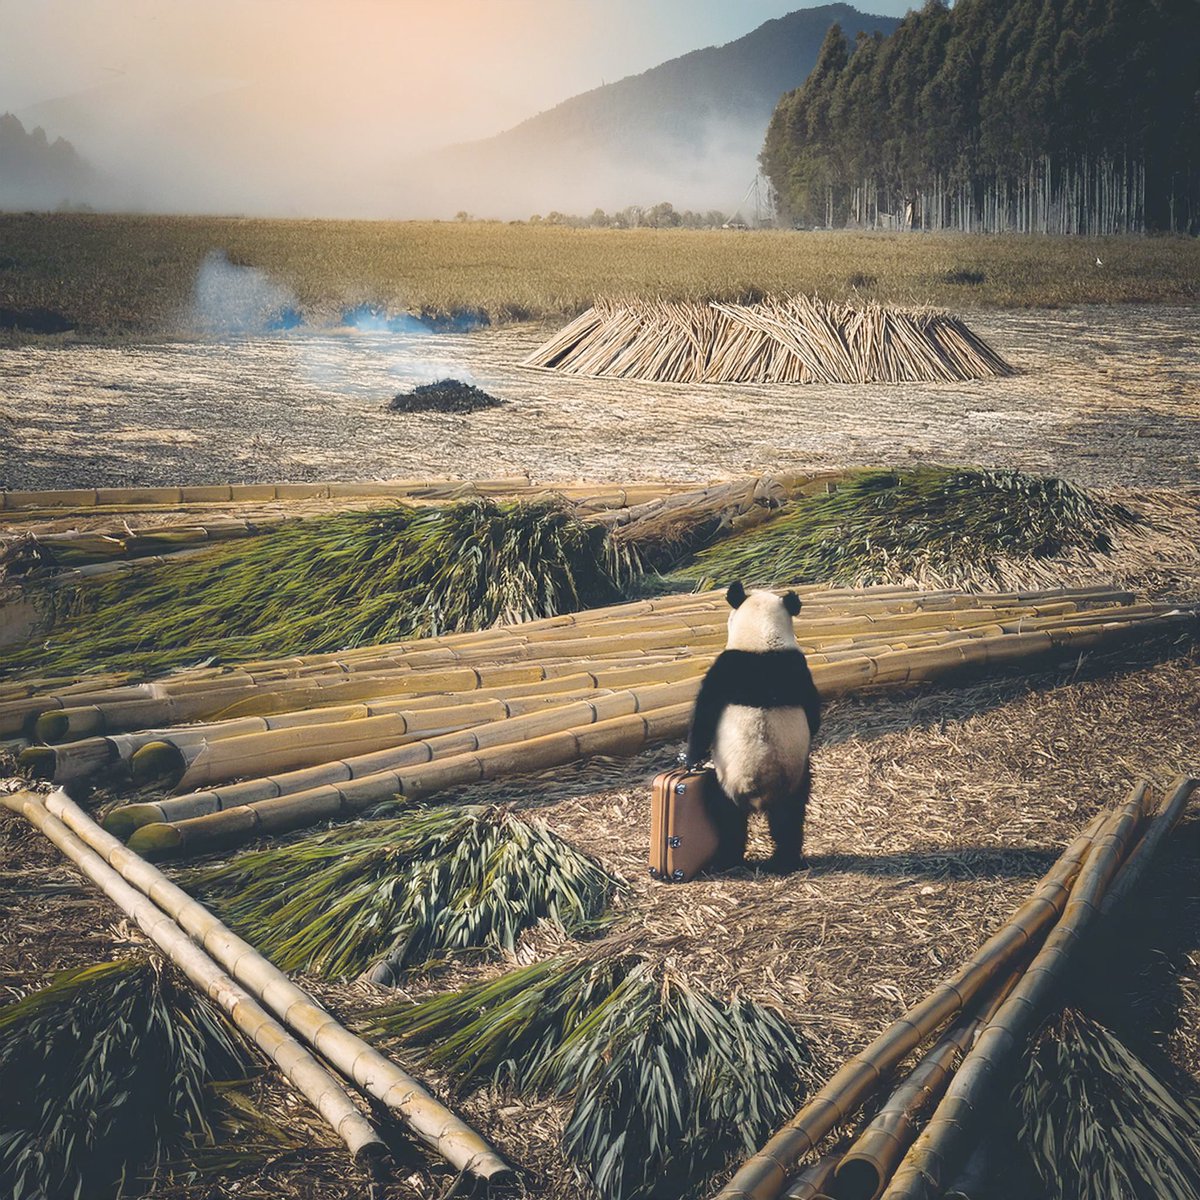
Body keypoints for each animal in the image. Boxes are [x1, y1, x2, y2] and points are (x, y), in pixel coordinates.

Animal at [685, 581, 821, 872]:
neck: (764, 641)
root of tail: (759, 791)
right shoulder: (800, 669)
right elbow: (813, 713)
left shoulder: (724, 668)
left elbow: (704, 715)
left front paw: (691, 759)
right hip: (793, 782)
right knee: (789, 818)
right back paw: (786, 861)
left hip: (729, 779)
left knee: (727, 816)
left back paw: (727, 859)